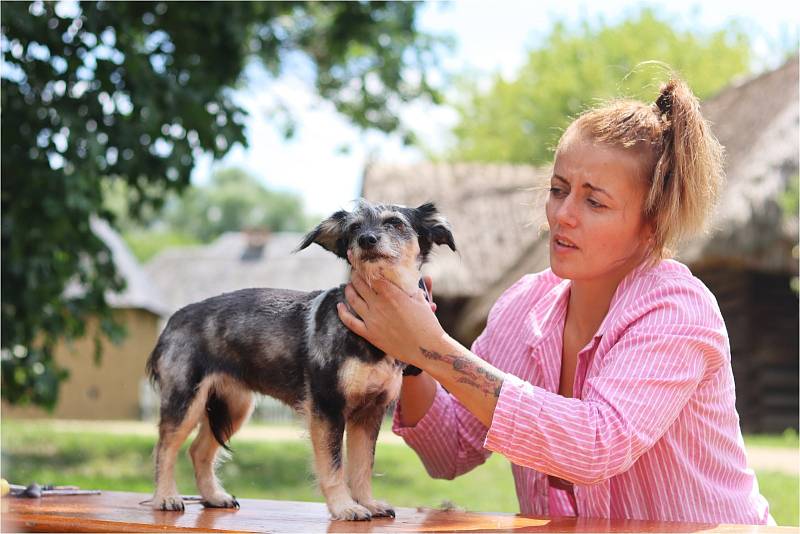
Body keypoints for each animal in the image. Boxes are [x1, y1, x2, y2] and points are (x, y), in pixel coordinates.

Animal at [145, 199, 456, 520]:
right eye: (354, 229)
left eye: (395, 223)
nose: (366, 240)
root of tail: (174, 319)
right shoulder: (327, 407)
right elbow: (334, 466)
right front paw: (345, 507)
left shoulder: (369, 412)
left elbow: (362, 466)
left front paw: (368, 503)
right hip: (185, 401)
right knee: (165, 448)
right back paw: (166, 497)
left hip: (234, 406)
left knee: (198, 450)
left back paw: (214, 496)